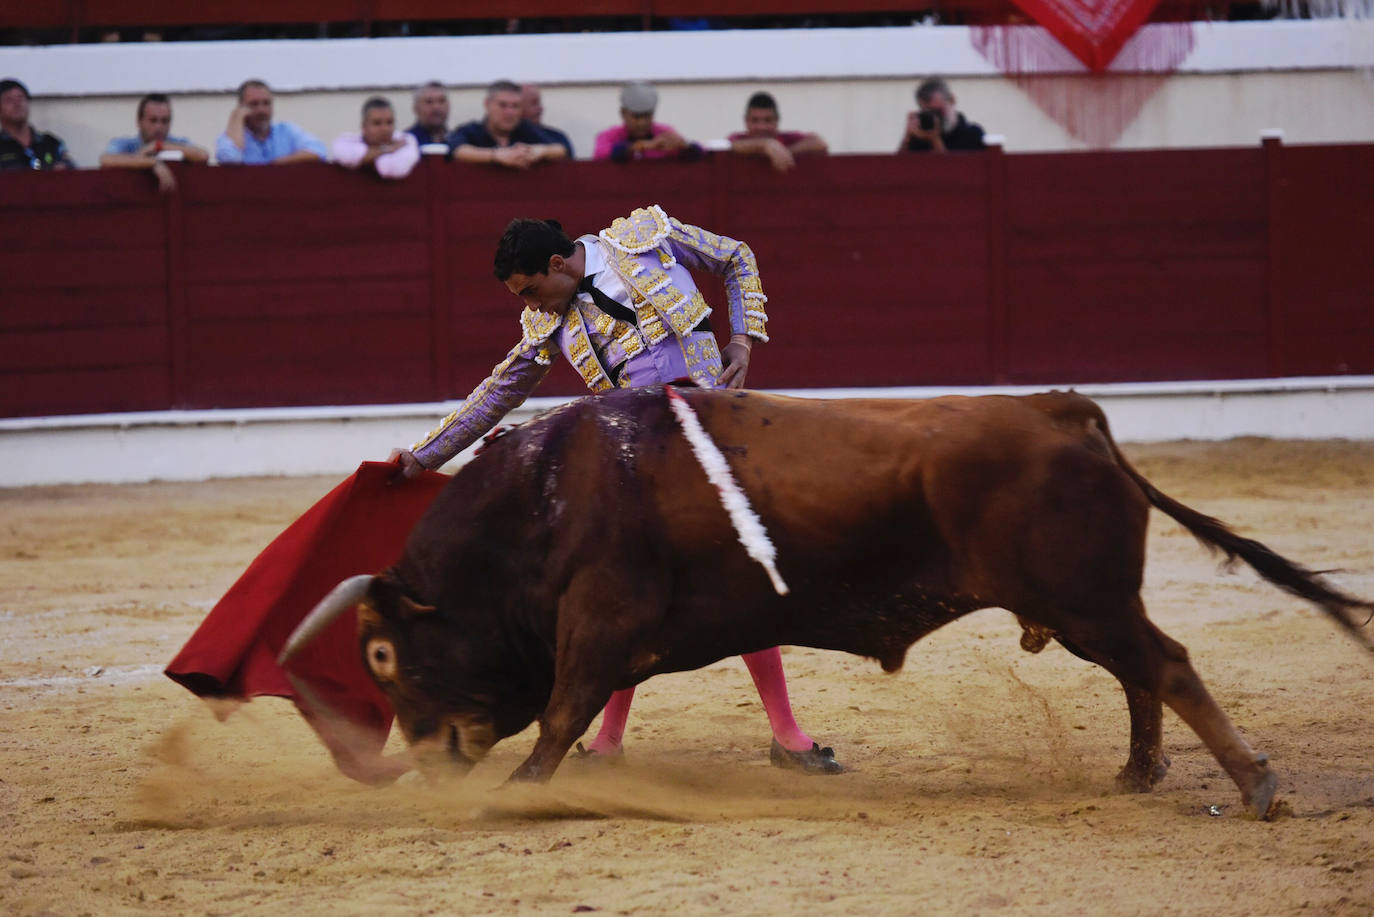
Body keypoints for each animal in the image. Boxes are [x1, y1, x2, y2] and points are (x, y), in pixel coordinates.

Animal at [281, 384, 1374, 819]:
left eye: (381, 656)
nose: (423, 761)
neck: (543, 496)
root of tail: (1066, 410)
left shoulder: (599, 614)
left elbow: (562, 705)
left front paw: (522, 790)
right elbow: (579, 703)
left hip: (1083, 594)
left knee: (1168, 665)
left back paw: (1257, 785)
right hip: (1083, 602)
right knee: (1143, 673)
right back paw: (1139, 771)